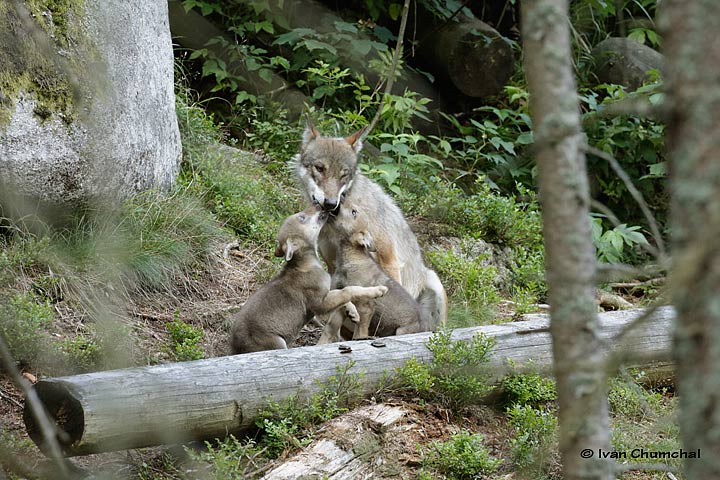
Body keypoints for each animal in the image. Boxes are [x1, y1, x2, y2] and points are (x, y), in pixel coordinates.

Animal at [231, 204, 388, 354]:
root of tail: (234, 348)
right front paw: (378, 290)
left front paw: (353, 312)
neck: (307, 264)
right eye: (302, 217)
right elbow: (348, 290)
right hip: (276, 343)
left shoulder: (326, 294)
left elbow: (342, 293)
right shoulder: (319, 304)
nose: (319, 204)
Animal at [292, 118, 444, 332]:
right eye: (320, 168)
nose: (331, 203)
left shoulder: (388, 259)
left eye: (344, 175)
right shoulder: (333, 265)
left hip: (435, 283)